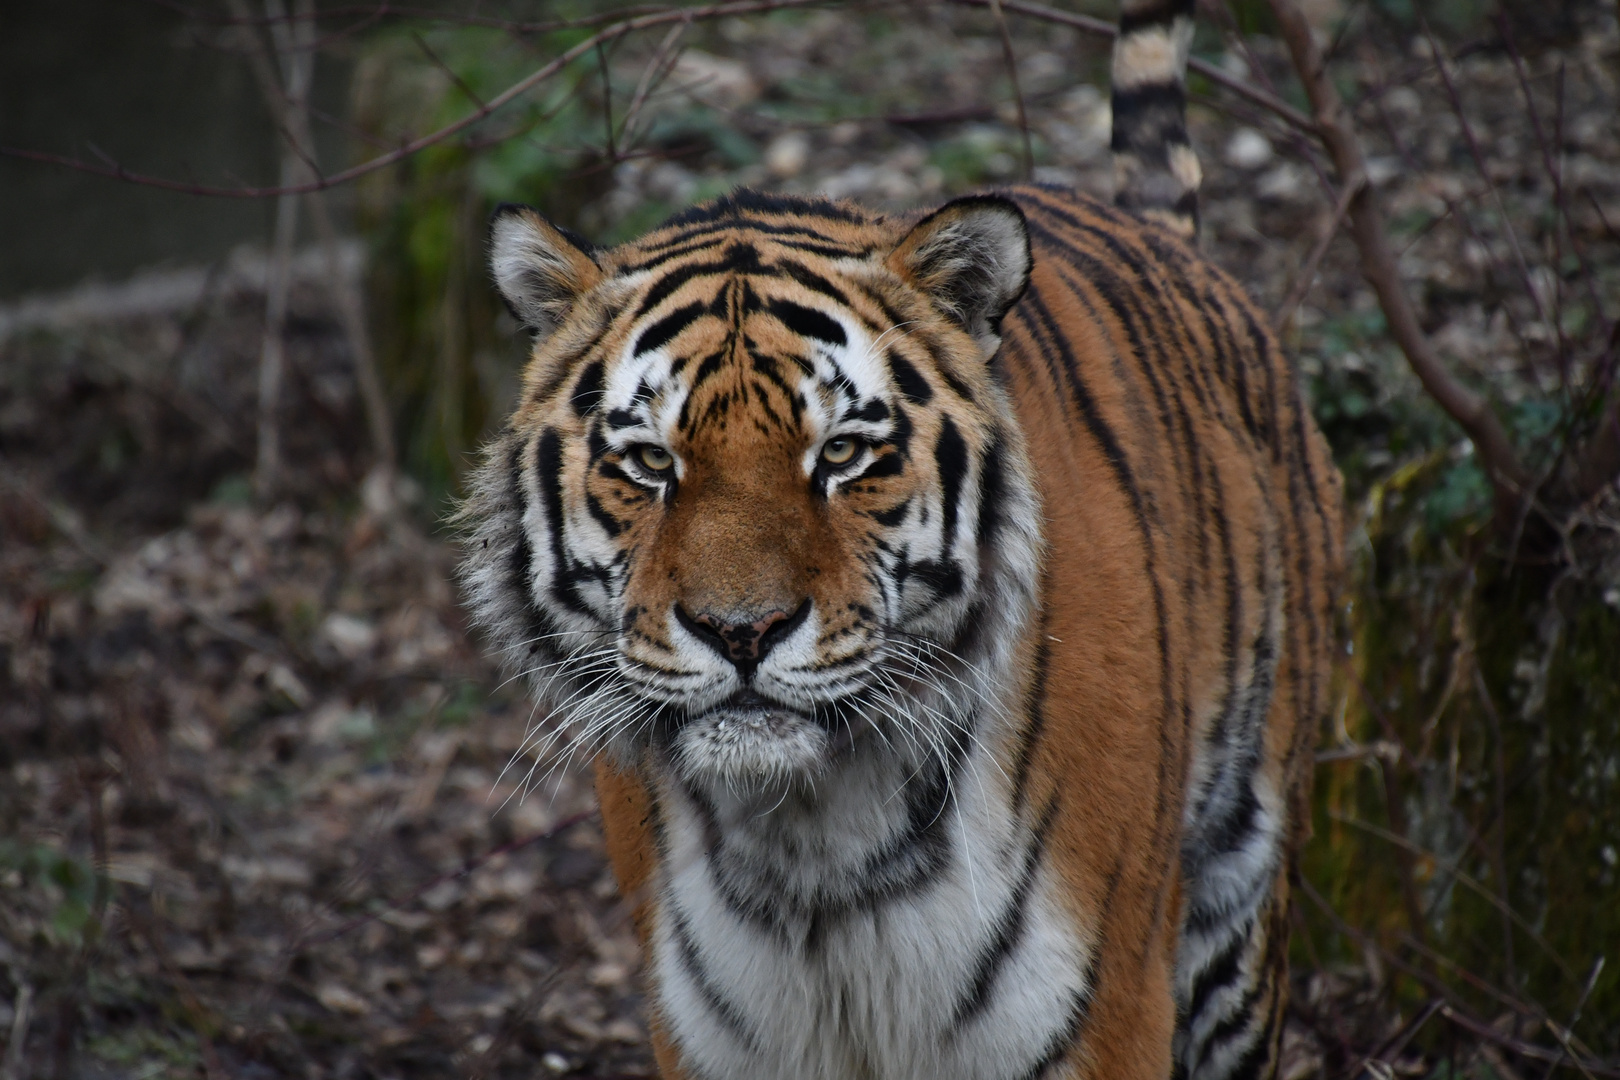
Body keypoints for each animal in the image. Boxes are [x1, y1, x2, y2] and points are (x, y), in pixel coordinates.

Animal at [456, 0, 1341, 1075]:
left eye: (841, 453)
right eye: (652, 463)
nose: (741, 632)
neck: (814, 854)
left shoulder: (1111, 1009)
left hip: (1235, 912)